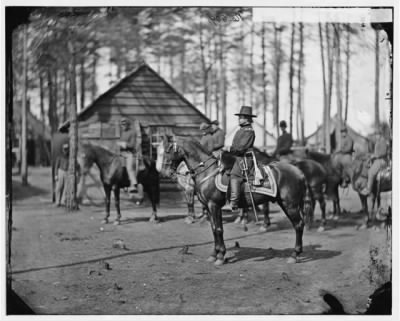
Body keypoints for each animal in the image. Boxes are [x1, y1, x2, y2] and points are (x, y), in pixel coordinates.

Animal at [163, 136, 312, 264]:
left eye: (169, 150)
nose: (167, 172)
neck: (207, 171)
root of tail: (299, 172)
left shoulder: (214, 205)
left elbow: (218, 229)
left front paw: (221, 256)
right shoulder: (209, 207)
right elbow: (213, 229)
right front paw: (214, 255)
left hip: (290, 205)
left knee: (298, 225)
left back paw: (294, 255)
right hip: (286, 204)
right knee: (298, 224)